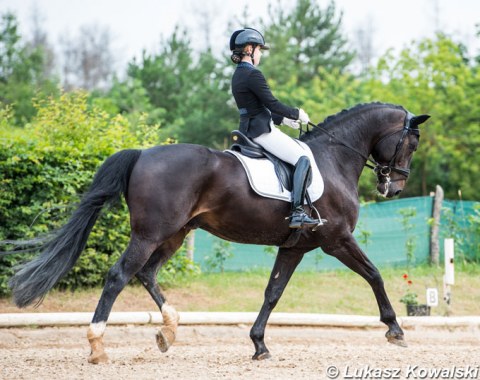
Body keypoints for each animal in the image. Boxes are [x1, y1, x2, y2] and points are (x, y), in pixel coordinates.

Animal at [7, 102, 430, 364]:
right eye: (412, 143)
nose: (393, 188)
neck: (333, 157)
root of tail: (142, 153)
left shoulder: (294, 247)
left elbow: (273, 292)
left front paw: (259, 345)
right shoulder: (336, 240)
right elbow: (374, 274)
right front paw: (395, 329)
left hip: (174, 234)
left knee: (147, 273)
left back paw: (169, 331)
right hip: (149, 234)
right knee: (119, 275)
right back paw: (97, 347)